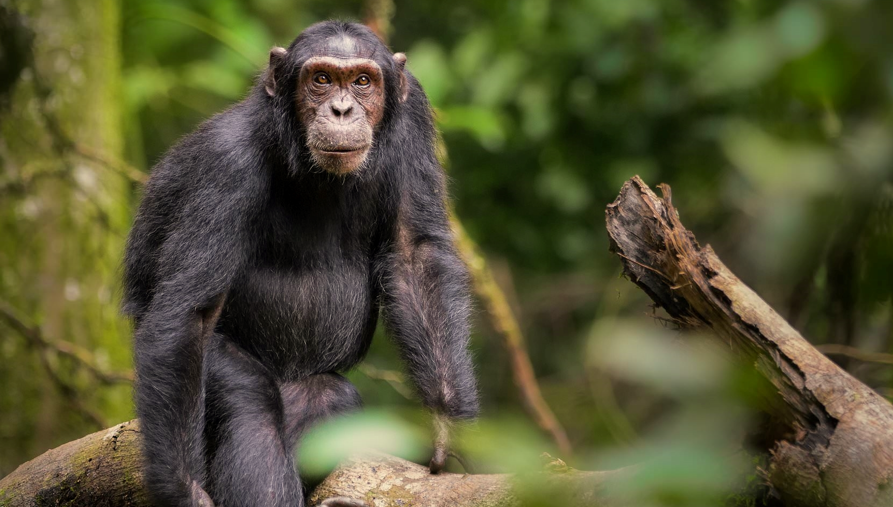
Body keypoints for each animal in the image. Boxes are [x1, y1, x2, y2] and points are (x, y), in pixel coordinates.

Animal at [123, 20, 480, 507]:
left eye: (363, 81)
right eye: (321, 79)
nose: (342, 109)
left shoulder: (414, 118)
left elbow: (415, 253)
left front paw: (447, 431)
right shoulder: (225, 163)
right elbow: (187, 316)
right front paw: (186, 494)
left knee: (327, 398)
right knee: (248, 402)